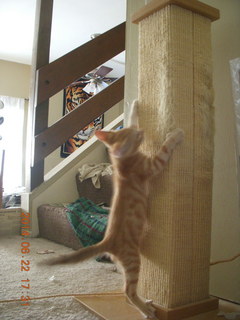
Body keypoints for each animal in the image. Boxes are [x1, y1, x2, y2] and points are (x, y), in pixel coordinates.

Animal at [42, 100, 183, 320]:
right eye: (137, 137)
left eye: (135, 132)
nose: (142, 131)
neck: (121, 163)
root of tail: (107, 240)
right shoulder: (152, 165)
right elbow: (164, 149)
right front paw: (175, 135)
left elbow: (132, 117)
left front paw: (133, 106)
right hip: (133, 260)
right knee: (127, 291)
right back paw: (146, 311)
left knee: (126, 289)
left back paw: (146, 304)